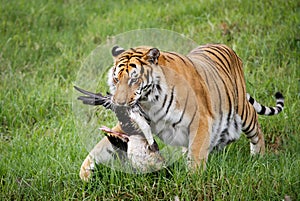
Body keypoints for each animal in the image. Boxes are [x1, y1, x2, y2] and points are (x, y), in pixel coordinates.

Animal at [77, 43, 284, 181]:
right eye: (116, 79)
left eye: (133, 79)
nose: (118, 104)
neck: (149, 101)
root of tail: (226, 47)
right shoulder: (134, 124)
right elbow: (103, 144)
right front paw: (85, 172)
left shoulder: (200, 121)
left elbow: (196, 155)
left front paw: (193, 181)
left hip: (242, 110)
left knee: (255, 127)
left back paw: (259, 157)